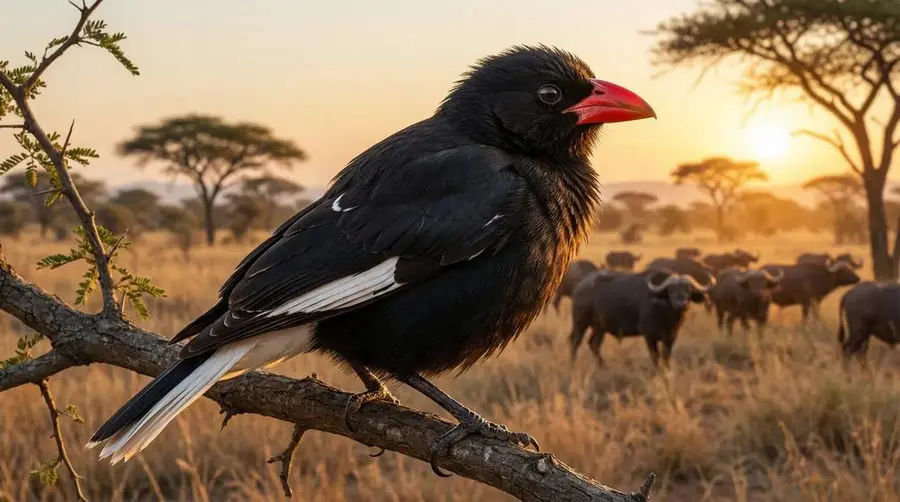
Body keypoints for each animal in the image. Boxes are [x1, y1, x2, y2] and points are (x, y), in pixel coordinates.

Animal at [569, 269, 710, 368]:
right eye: (671, 290)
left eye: (688, 290)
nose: (681, 304)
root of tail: (579, 287)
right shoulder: (649, 336)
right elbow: (655, 356)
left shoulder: (671, 337)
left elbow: (666, 356)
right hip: (580, 322)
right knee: (575, 341)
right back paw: (574, 364)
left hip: (599, 327)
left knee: (594, 344)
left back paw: (603, 366)